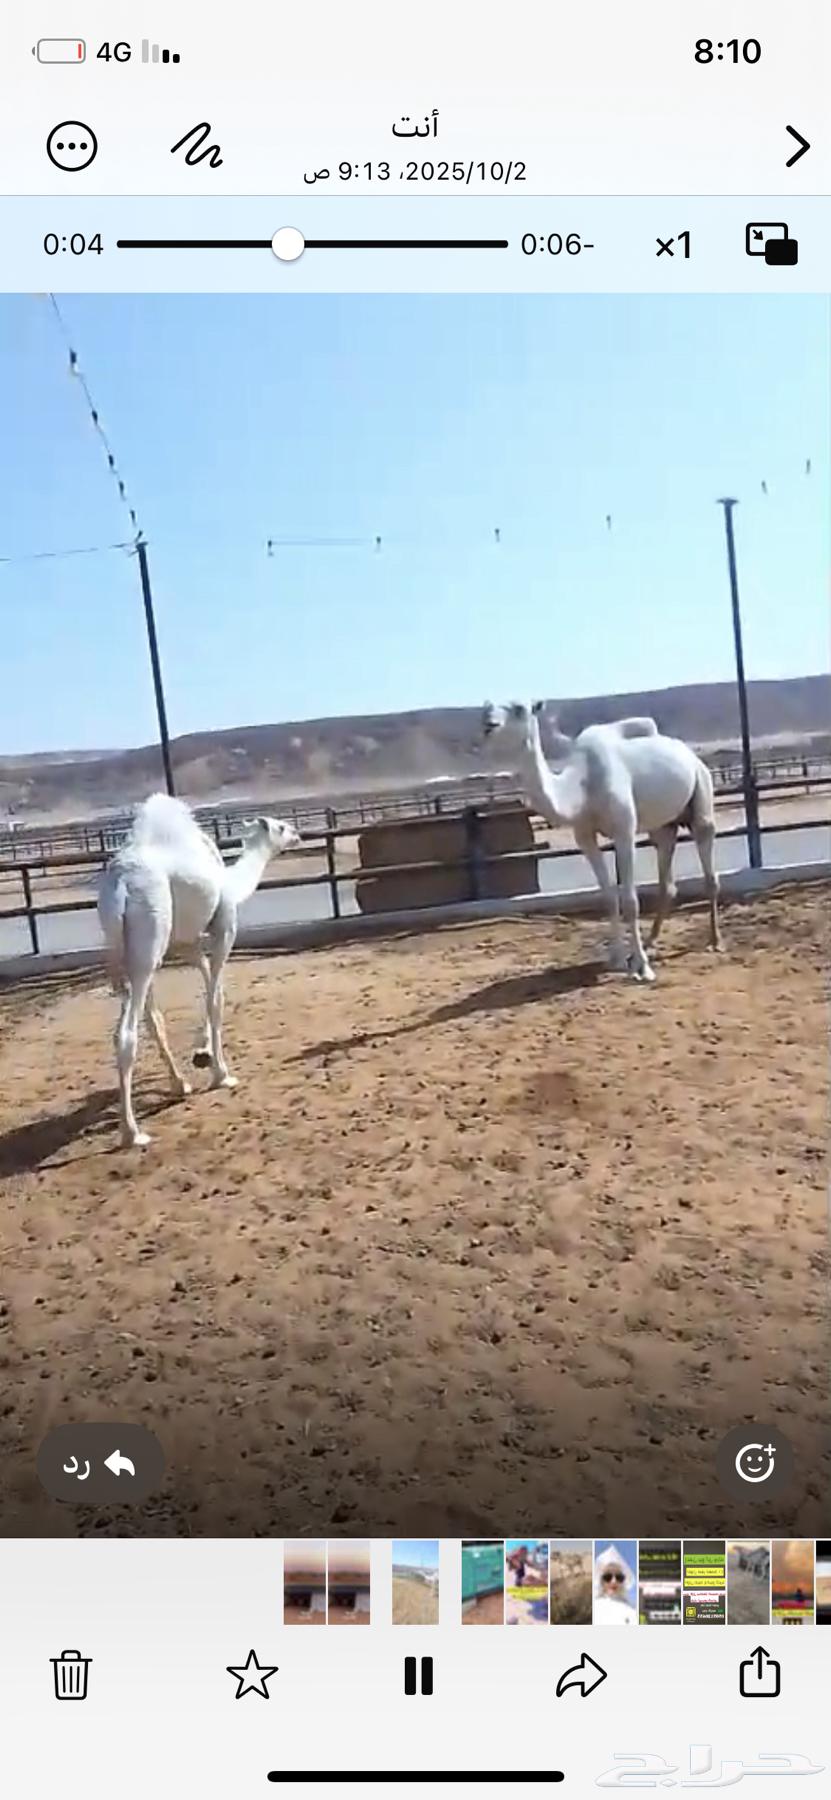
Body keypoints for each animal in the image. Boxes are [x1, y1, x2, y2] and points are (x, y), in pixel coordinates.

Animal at [98, 794, 300, 1146]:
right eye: (280, 827)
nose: (298, 834)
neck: (230, 879)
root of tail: (120, 888)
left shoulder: (187, 943)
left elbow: (208, 986)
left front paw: (202, 1053)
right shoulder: (225, 925)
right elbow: (217, 999)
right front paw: (221, 1073)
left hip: (126, 953)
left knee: (150, 1018)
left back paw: (179, 1085)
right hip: (149, 939)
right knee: (126, 1033)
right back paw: (133, 1132)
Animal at [482, 701, 722, 981]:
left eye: (519, 708)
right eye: (486, 706)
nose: (488, 723)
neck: (582, 784)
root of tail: (690, 754)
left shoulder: (624, 829)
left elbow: (630, 900)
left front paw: (642, 968)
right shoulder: (584, 836)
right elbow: (608, 896)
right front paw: (617, 959)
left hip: (702, 793)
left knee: (708, 861)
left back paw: (714, 941)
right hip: (664, 825)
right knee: (667, 872)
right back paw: (651, 941)